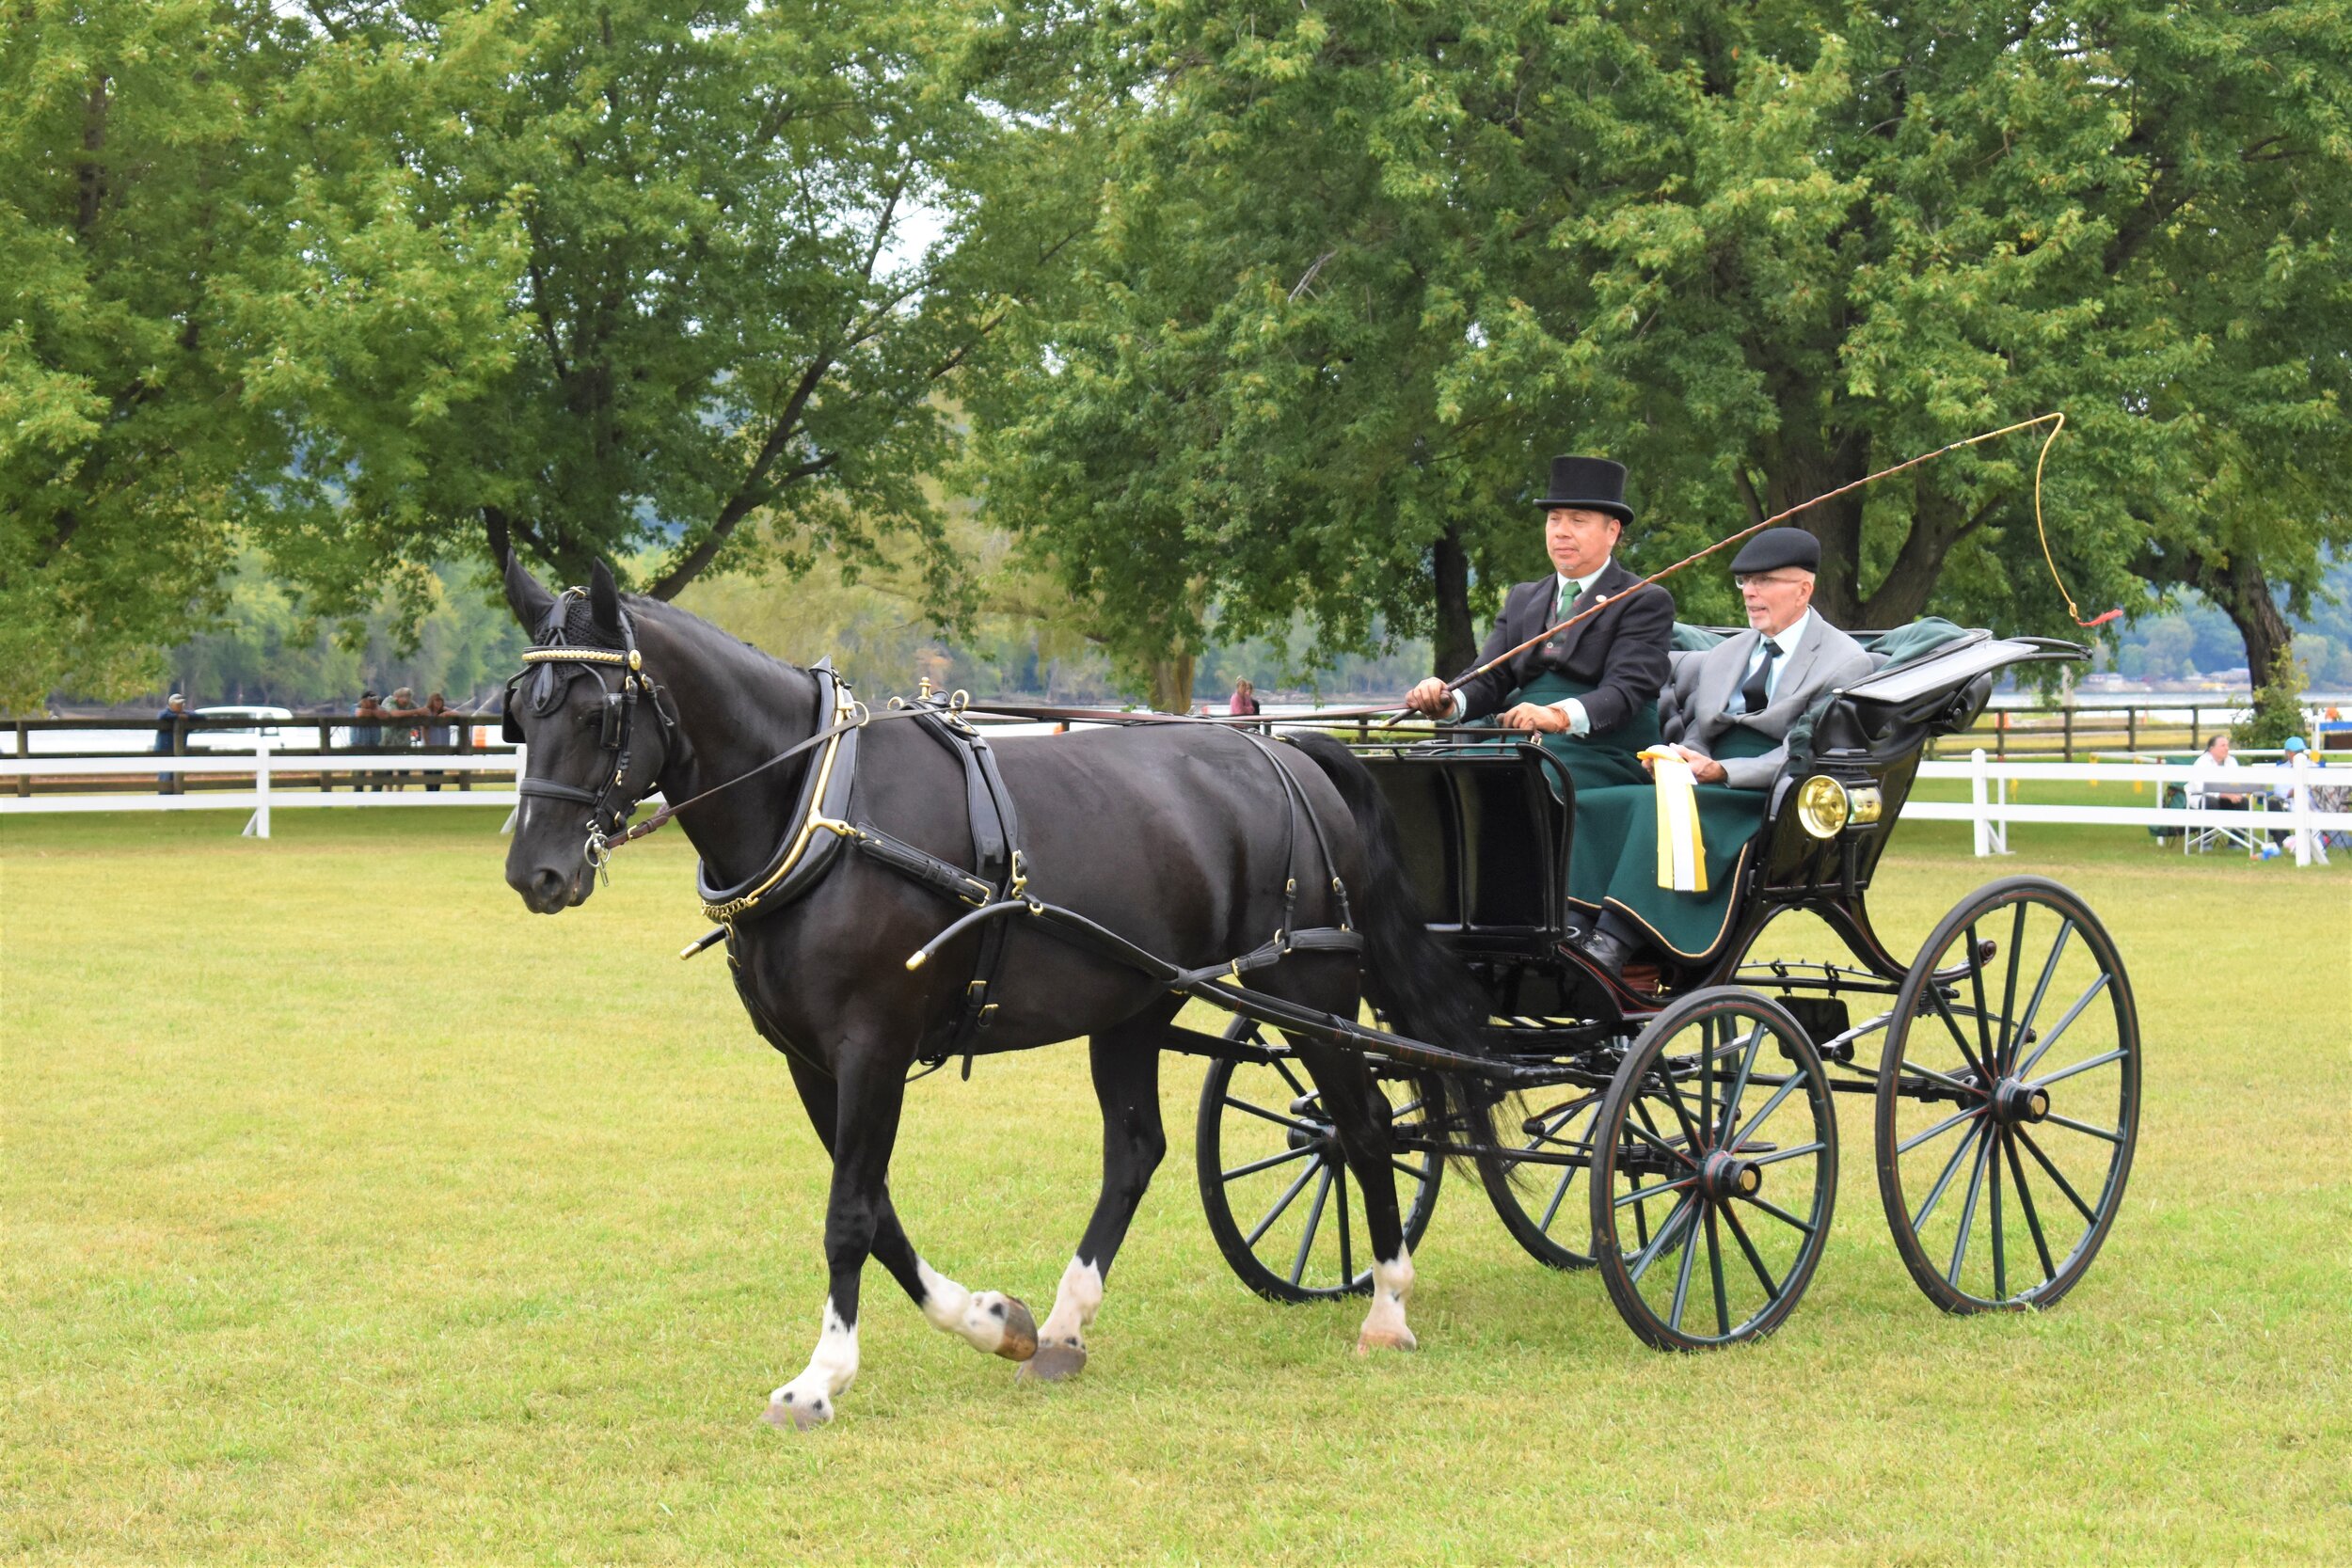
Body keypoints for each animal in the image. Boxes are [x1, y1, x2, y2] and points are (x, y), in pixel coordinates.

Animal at [496, 557, 1486, 1429]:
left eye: (595, 710)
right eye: (515, 713)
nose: (532, 873)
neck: (819, 807)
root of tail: (1290, 752)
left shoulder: (874, 1045)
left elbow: (849, 1213)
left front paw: (820, 1379)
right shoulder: (812, 1061)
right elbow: (878, 1210)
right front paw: (990, 1320)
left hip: (1309, 983)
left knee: (1363, 1125)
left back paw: (1388, 1306)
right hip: (1135, 1005)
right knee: (1137, 1151)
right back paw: (1064, 1326)